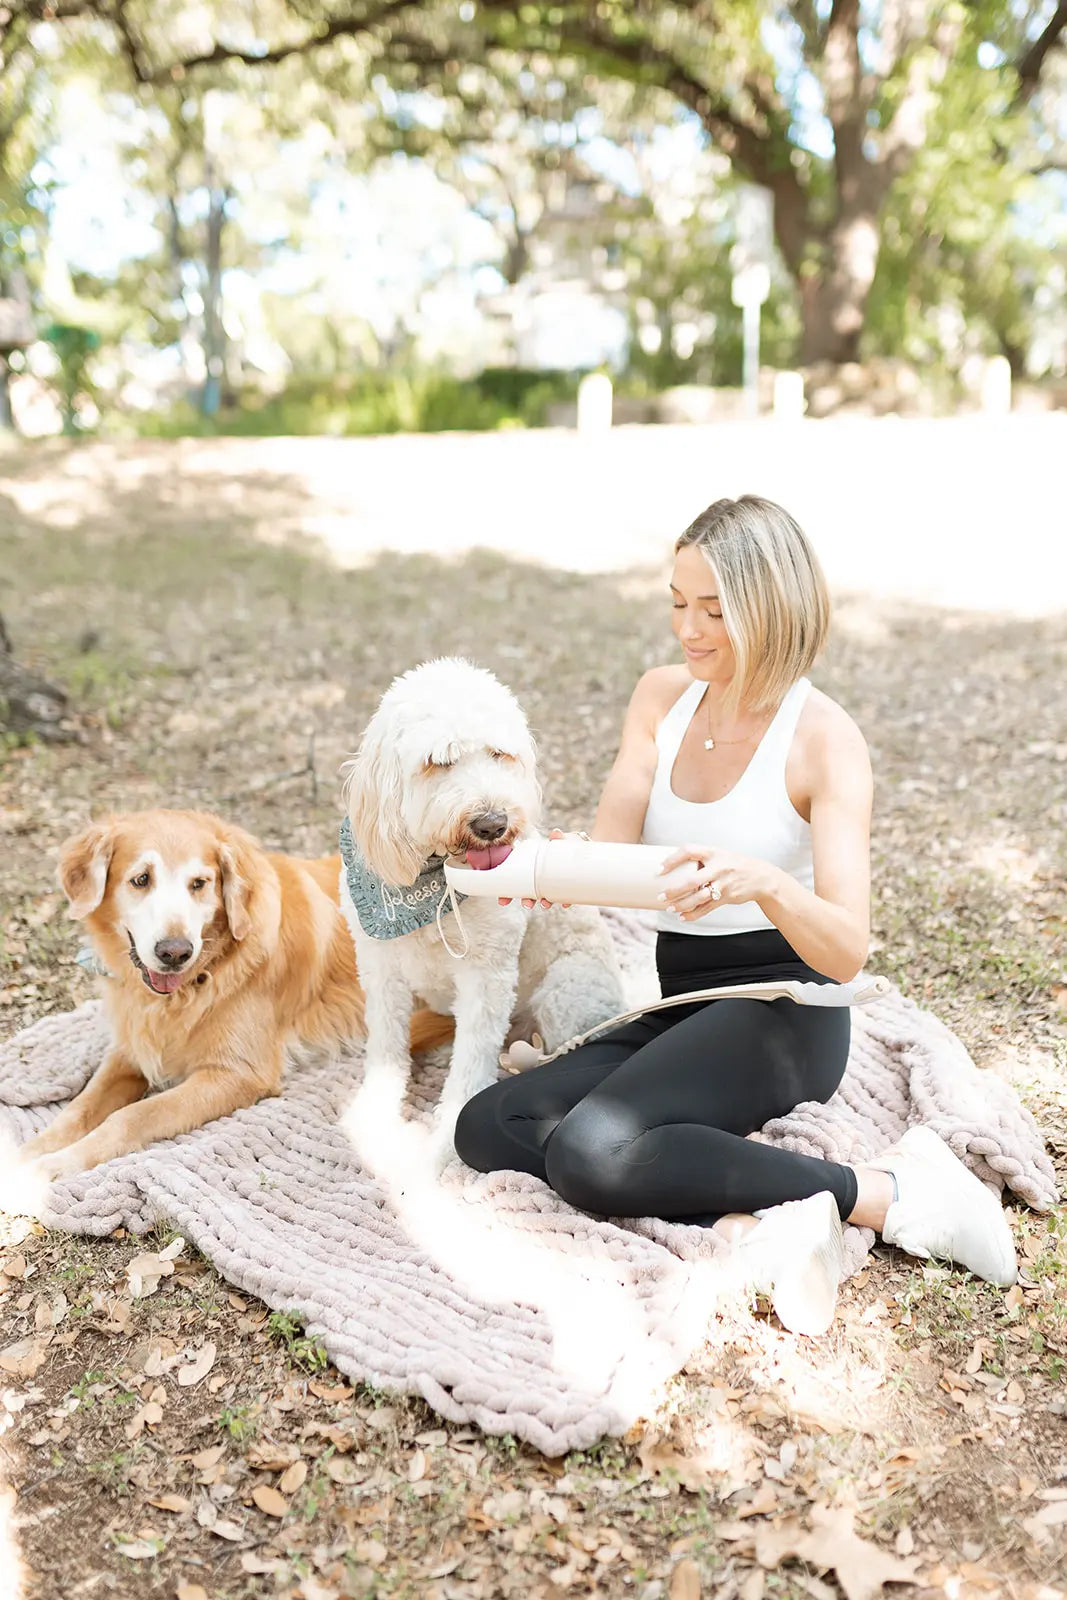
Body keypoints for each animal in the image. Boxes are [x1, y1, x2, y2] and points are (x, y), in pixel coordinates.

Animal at [340, 652, 627, 1164]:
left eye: (499, 754)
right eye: (439, 762)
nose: (492, 823)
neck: (436, 882)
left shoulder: (487, 976)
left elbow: (473, 1057)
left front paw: (444, 1134)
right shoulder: (379, 970)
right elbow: (386, 1043)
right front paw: (375, 1113)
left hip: (566, 991)